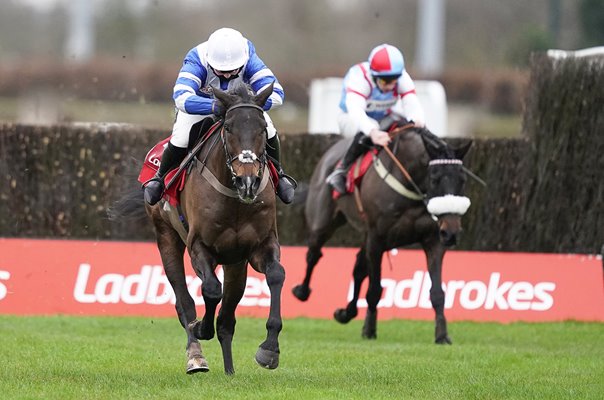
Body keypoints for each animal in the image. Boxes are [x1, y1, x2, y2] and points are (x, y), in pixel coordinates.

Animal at [111, 82, 286, 376]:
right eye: (228, 127)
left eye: (263, 128)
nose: (248, 180)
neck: (234, 197)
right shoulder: (199, 247)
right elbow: (211, 289)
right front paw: (201, 328)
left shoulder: (261, 245)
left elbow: (276, 275)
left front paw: (269, 349)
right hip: (166, 236)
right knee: (184, 302)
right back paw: (196, 357)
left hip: (236, 263)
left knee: (227, 319)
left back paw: (229, 370)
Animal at [292, 125, 472, 344]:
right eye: (434, 179)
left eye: (462, 180)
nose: (452, 232)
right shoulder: (377, 238)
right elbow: (375, 289)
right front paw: (370, 329)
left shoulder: (433, 240)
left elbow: (437, 292)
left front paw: (442, 335)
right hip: (323, 221)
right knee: (314, 254)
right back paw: (302, 291)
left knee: (358, 268)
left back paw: (346, 313)